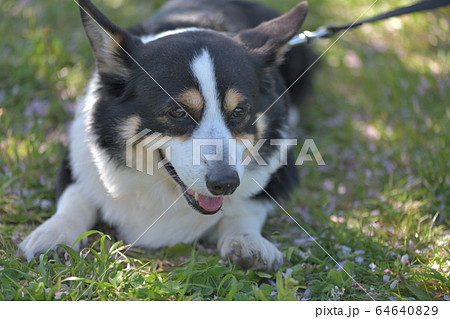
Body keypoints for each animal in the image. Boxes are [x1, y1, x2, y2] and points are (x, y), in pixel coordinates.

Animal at [19, 0, 314, 272]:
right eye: (178, 111)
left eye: (239, 111)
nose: (226, 183)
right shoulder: (77, 158)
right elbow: (76, 198)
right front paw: (54, 233)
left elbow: (248, 207)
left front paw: (247, 241)